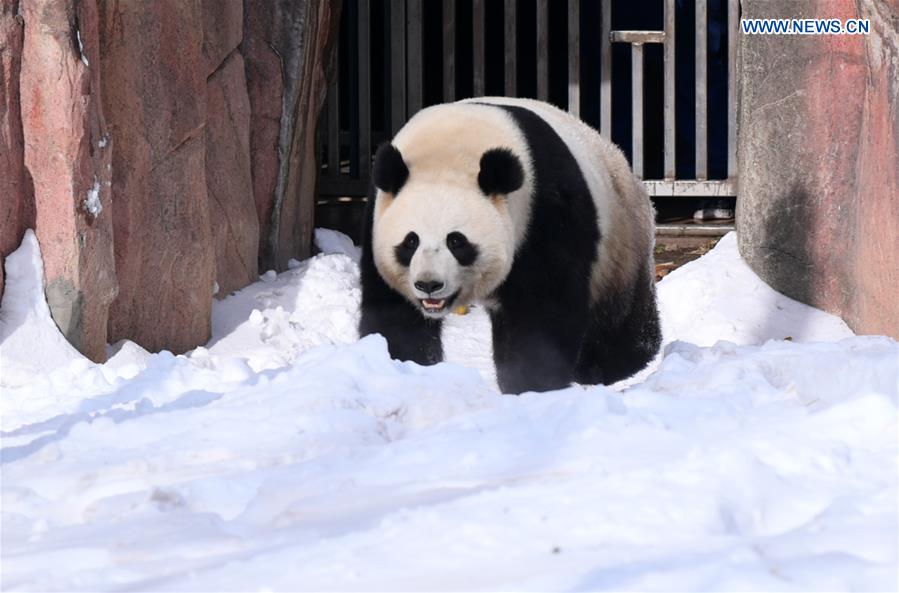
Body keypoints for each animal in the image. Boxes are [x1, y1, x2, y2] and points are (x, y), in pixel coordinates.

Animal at [359, 97, 661, 394]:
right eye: (410, 241)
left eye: (456, 241)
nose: (429, 284)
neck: (450, 153)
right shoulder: (377, 217)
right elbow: (393, 311)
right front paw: (405, 366)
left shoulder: (544, 212)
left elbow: (540, 311)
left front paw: (532, 384)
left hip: (619, 243)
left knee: (618, 320)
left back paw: (606, 365)